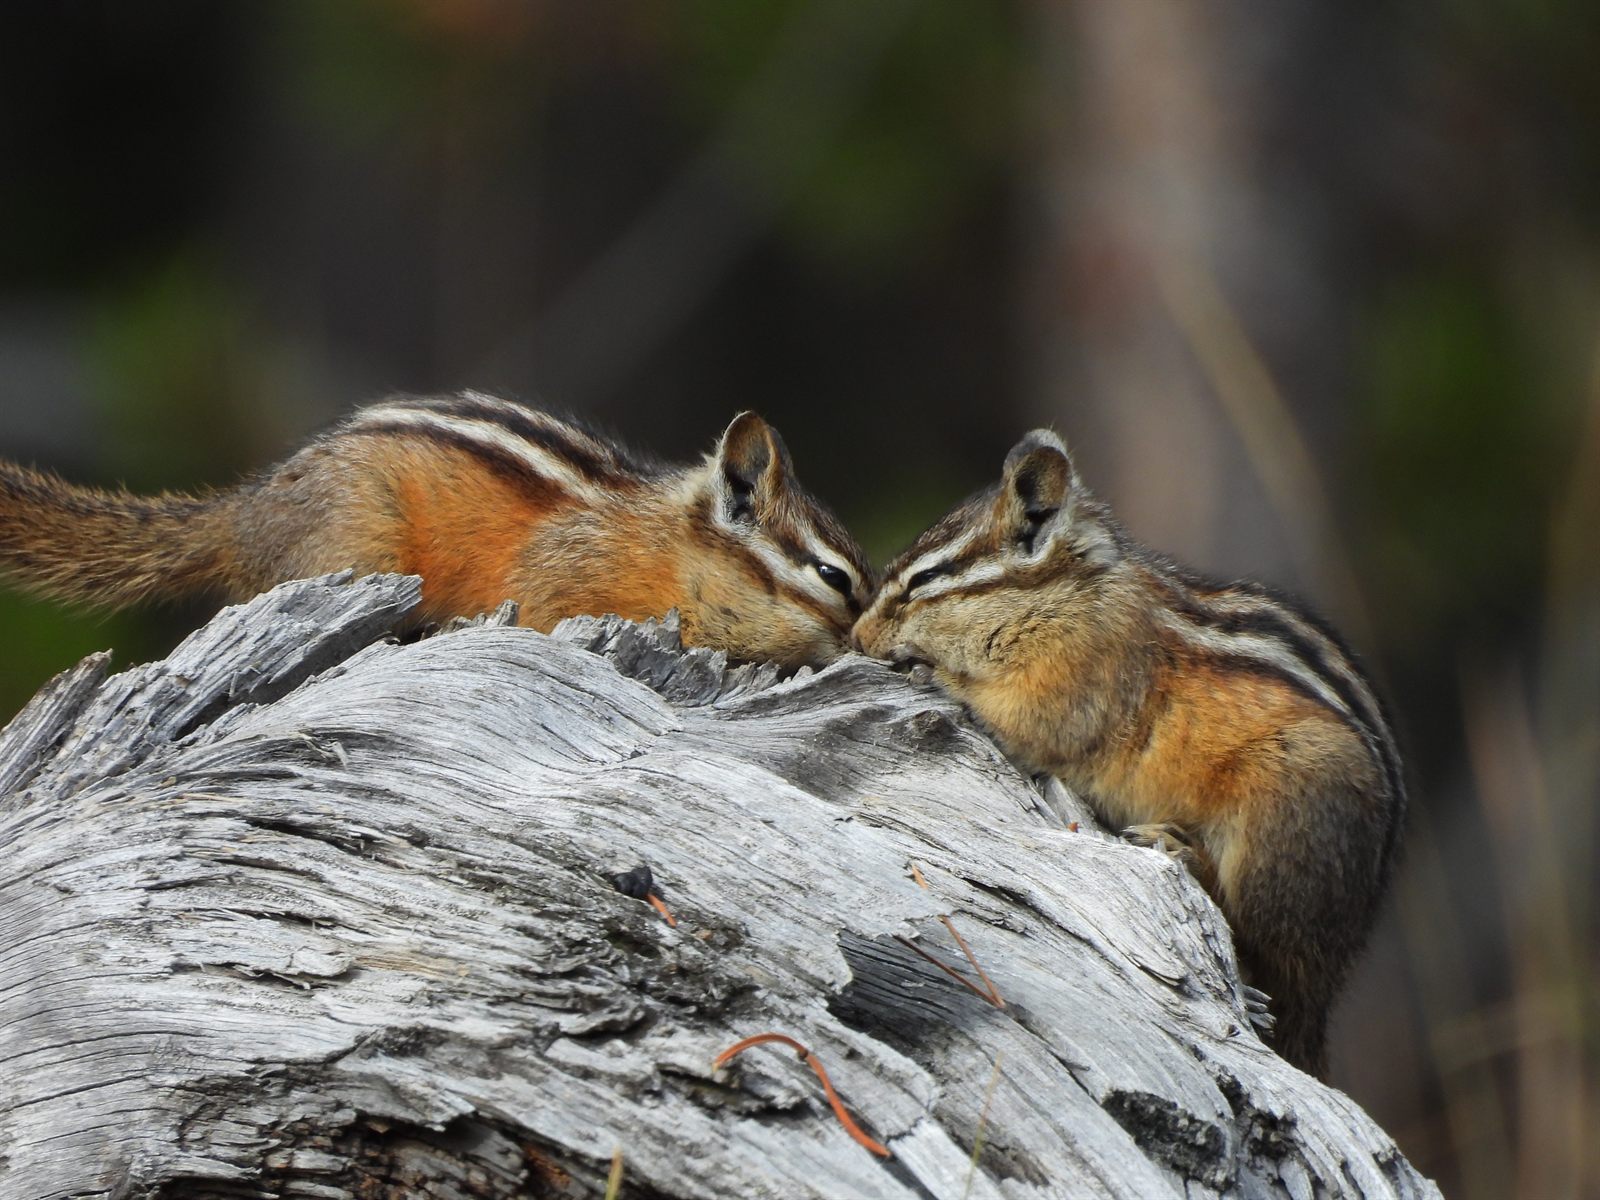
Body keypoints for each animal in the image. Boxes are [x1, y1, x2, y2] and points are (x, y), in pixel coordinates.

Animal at [0, 391, 873, 669]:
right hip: (360, 545)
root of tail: (243, 515)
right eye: (834, 579)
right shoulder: (565, 579)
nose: (868, 646)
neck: (672, 549)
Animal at [852, 429, 1404, 1077]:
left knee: (1262, 938)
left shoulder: (1077, 678)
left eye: (923, 581)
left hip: (1284, 814)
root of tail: (1337, 967)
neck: (1069, 595)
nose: (857, 637)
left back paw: (1177, 846)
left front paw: (927, 671)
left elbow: (1024, 721)